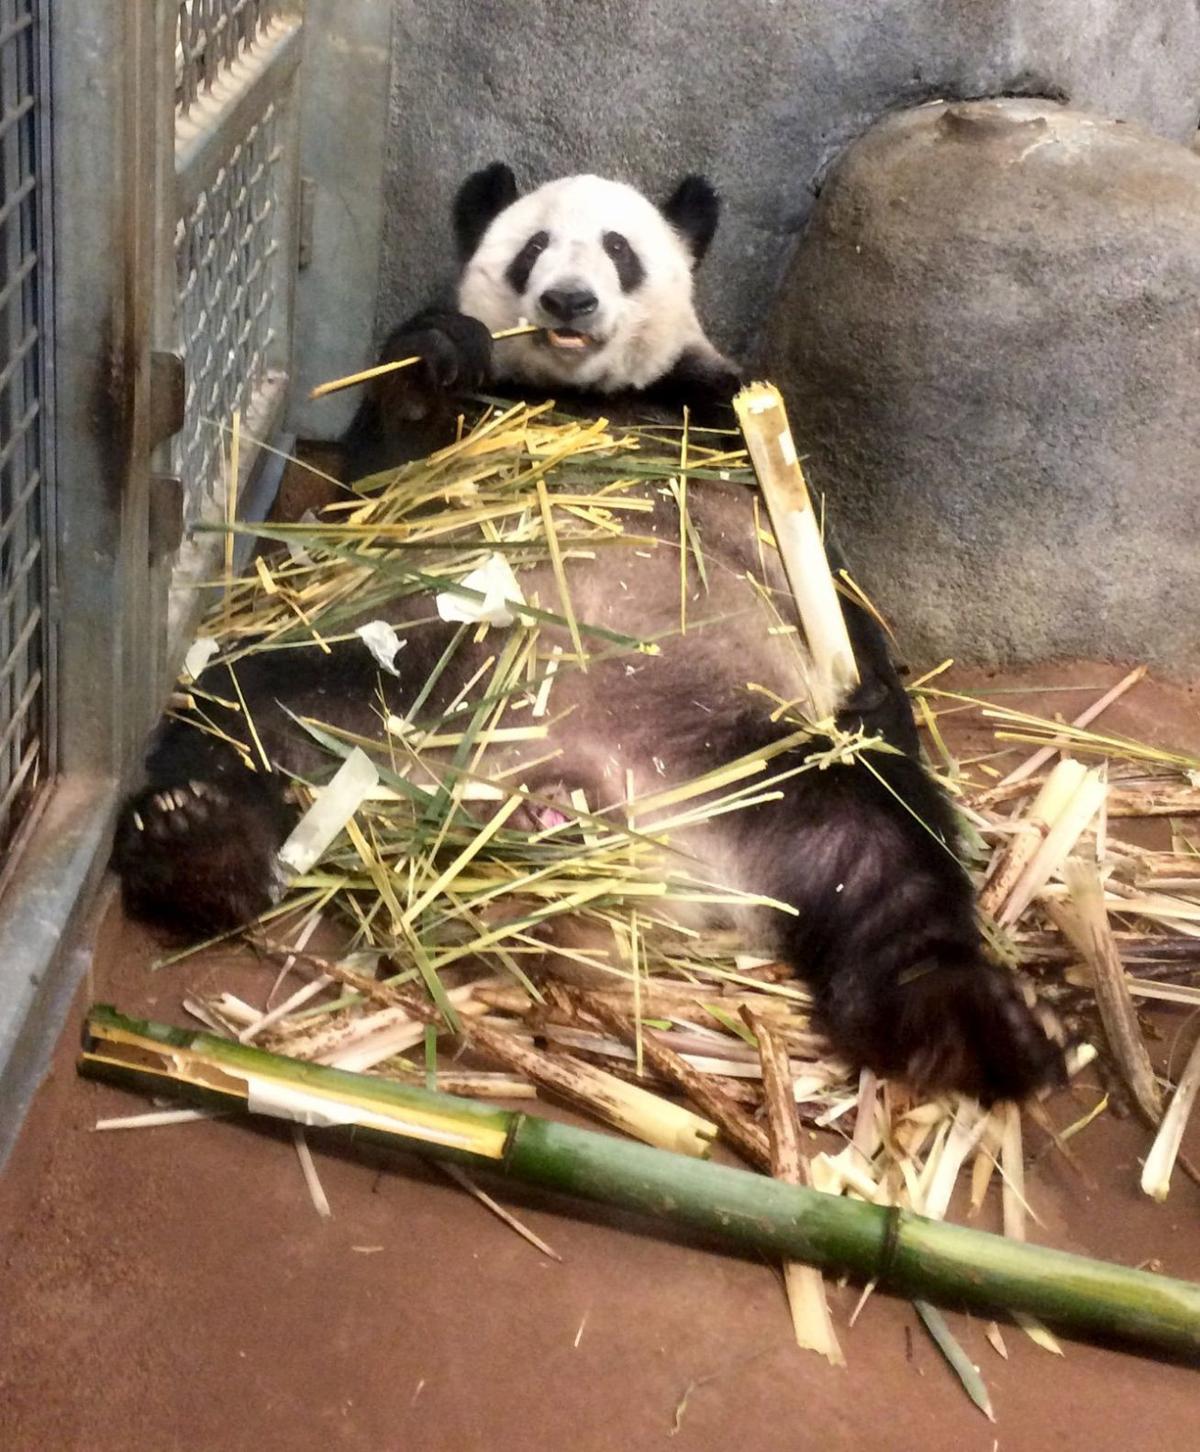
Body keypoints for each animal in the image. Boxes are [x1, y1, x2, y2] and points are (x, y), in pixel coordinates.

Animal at [115, 164, 1066, 1104]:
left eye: (620, 249)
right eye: (533, 245)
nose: (568, 300)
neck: (581, 396)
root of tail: (575, 794)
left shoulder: (722, 416)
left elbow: (824, 575)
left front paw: (871, 688)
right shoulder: (474, 429)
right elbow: (381, 488)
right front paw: (434, 359)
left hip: (748, 761)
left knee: (883, 846)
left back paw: (964, 1021)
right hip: (402, 694)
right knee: (241, 707)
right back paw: (198, 842)